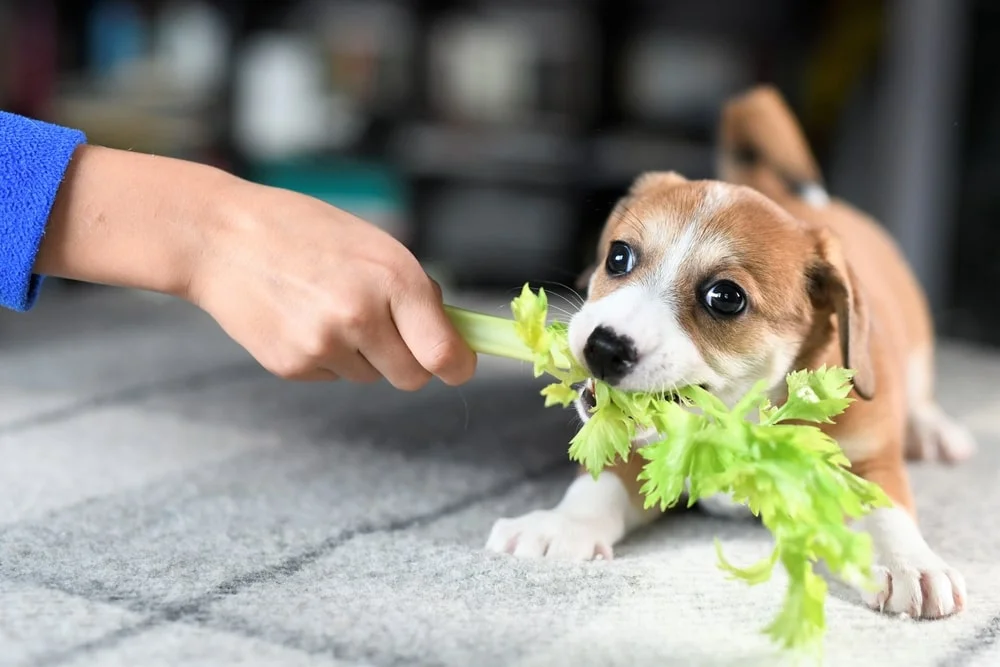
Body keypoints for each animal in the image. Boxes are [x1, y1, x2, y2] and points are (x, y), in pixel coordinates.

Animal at [488, 85, 972, 620]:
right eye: (618, 256)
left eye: (725, 297)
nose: (603, 347)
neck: (737, 420)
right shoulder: (637, 455)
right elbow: (596, 486)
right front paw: (562, 525)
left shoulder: (865, 467)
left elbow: (886, 514)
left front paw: (911, 563)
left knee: (921, 396)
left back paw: (934, 431)